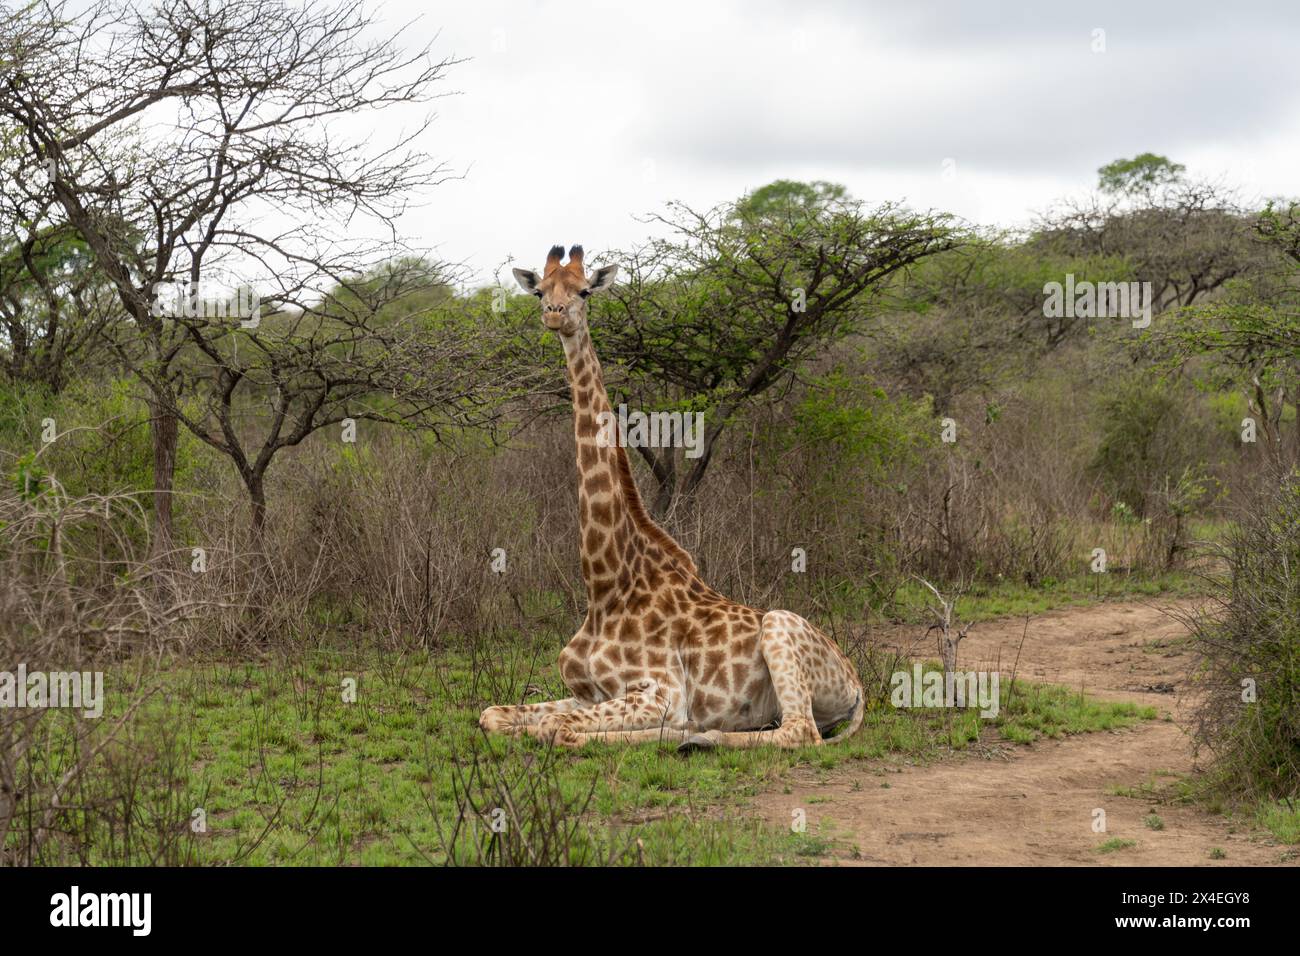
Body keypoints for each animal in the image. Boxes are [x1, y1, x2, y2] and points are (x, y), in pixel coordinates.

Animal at [478, 243, 863, 749]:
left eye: (584, 291)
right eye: (540, 290)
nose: (555, 315)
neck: (605, 586)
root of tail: (857, 682)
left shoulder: (662, 691)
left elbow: (559, 729)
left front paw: (677, 730)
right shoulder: (583, 692)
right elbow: (492, 714)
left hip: (781, 626)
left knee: (800, 730)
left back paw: (701, 737)